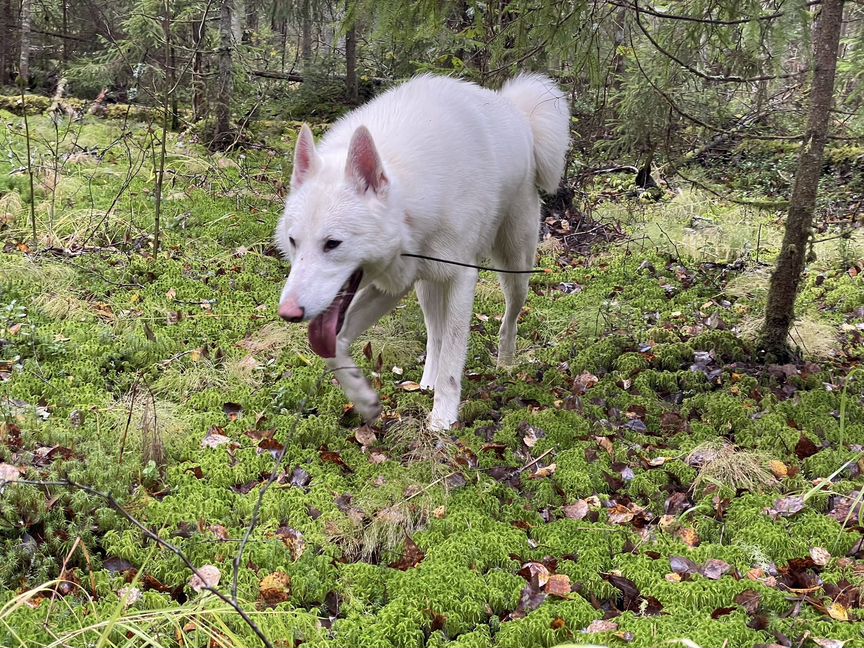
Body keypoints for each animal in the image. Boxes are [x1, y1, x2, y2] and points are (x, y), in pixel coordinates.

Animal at [276, 73, 572, 430]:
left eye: (332, 244)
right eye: (294, 242)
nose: (288, 313)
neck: (409, 206)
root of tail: (517, 112)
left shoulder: (461, 279)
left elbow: (454, 359)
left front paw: (442, 420)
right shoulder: (391, 286)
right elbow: (336, 347)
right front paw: (364, 399)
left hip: (515, 271)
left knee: (508, 320)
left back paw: (505, 363)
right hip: (426, 289)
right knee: (434, 335)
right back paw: (426, 381)